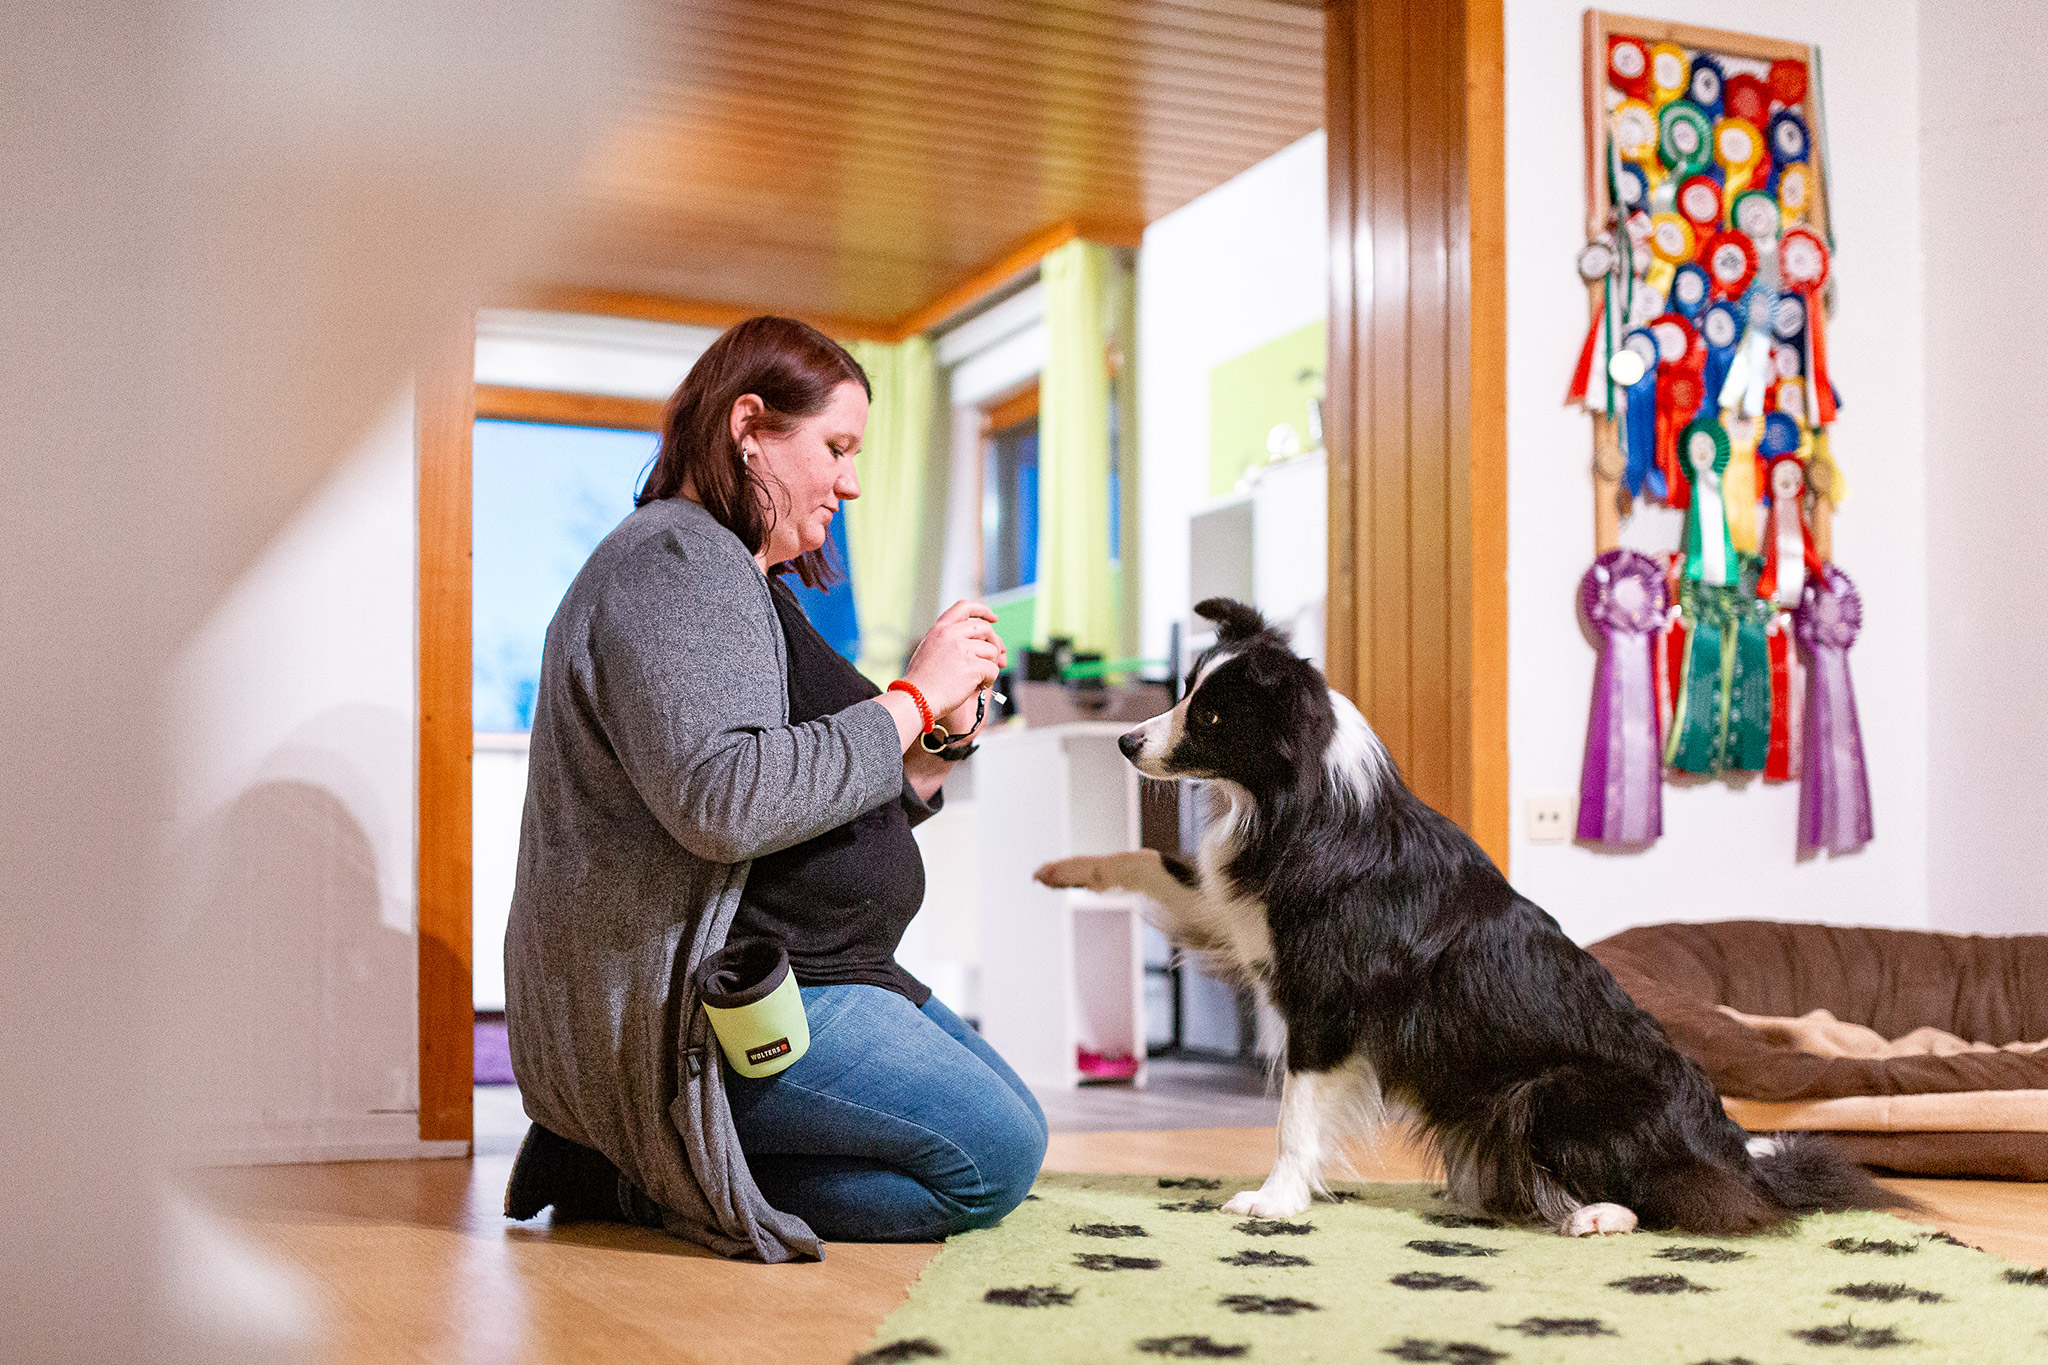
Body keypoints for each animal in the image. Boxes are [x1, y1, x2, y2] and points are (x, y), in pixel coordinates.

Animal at [1040, 597, 1900, 1236]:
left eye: (1214, 718)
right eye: (1185, 691)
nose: (1124, 741)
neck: (1299, 805)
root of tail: (1736, 1151)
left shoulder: (1325, 999)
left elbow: (1294, 1115)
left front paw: (1274, 1199)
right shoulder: (1243, 919)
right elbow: (1154, 863)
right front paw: (1065, 868)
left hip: (1549, 1091)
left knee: (1693, 1202)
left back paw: (1594, 1214)